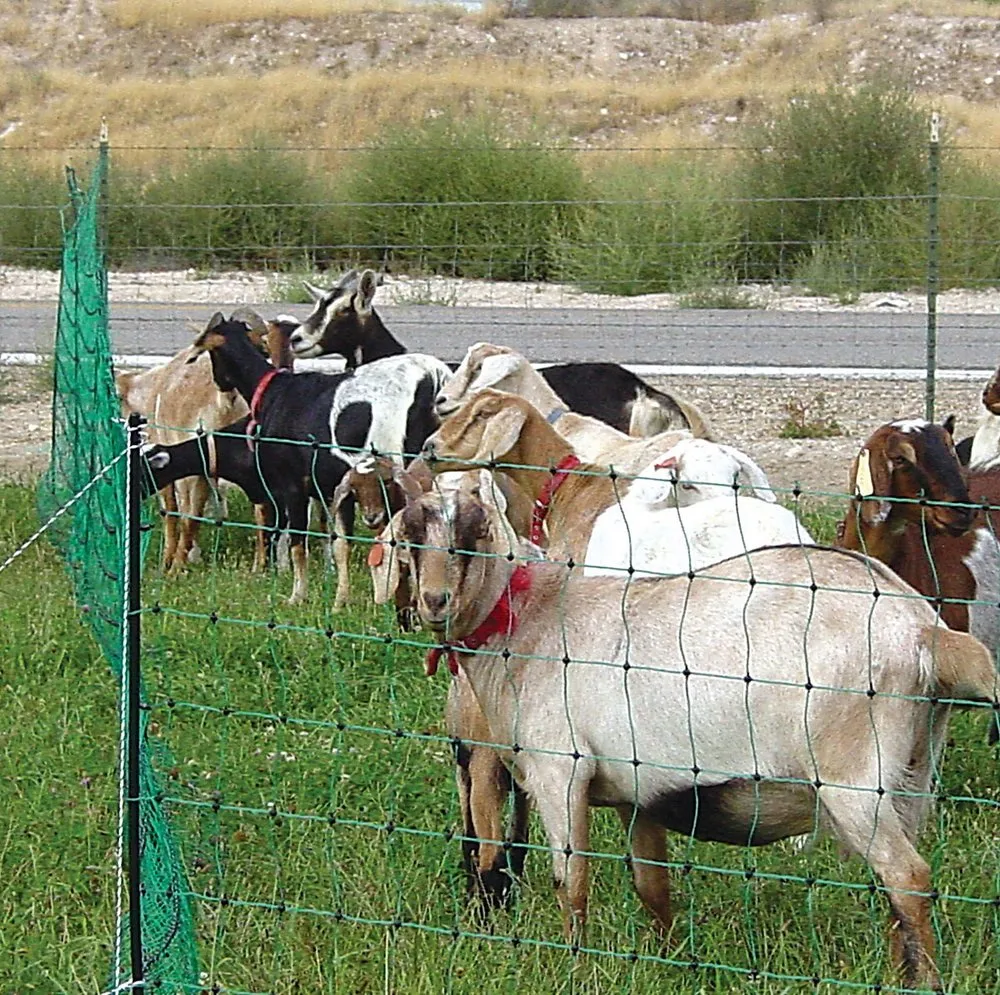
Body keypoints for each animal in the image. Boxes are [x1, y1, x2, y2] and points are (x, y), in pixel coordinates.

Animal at [116, 308, 294, 573]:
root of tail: (227, 401)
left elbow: (173, 510)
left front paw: (171, 559)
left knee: (191, 513)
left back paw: (179, 565)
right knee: (262, 511)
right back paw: (263, 566)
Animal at [142, 312, 449, 605]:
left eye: (211, 355)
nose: (220, 383)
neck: (273, 392)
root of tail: (433, 378)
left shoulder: (291, 486)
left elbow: (297, 543)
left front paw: (297, 595)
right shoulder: (336, 488)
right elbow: (339, 544)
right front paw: (341, 600)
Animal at [394, 483, 995, 991]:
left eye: (474, 535)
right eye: (411, 540)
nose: (435, 601)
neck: (528, 624)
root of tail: (923, 632)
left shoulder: (559, 771)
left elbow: (571, 880)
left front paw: (575, 967)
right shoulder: (636, 793)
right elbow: (652, 886)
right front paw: (668, 961)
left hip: (854, 777)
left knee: (908, 877)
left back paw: (926, 983)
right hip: (913, 772)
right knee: (895, 886)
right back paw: (902, 974)